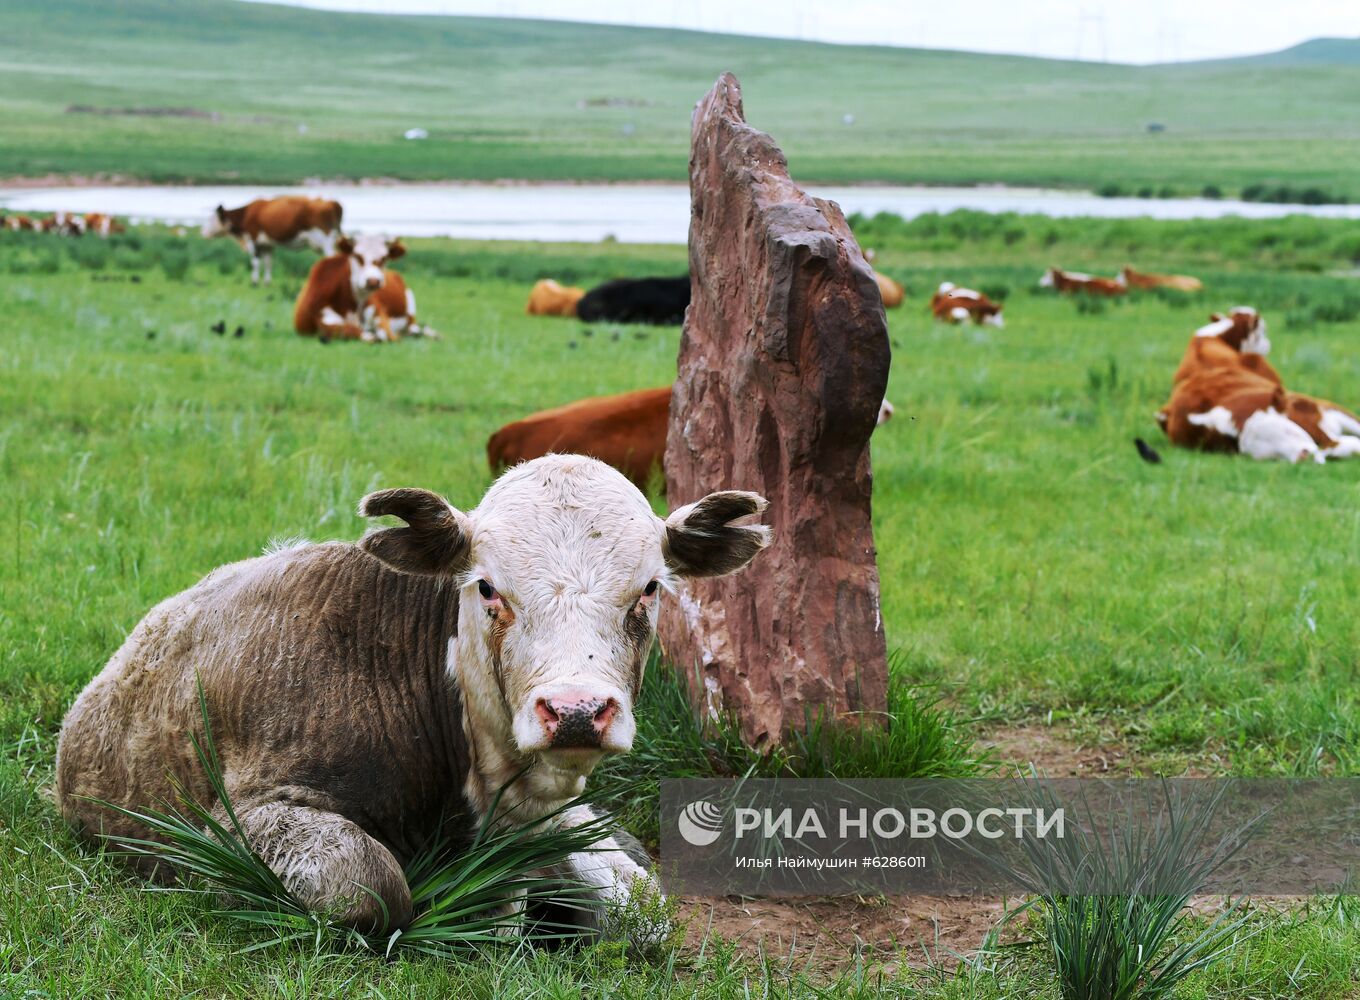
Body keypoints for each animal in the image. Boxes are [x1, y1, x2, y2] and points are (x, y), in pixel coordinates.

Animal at [58, 457, 772, 936]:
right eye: (487, 588)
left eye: (650, 588)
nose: (575, 711)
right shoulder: (238, 819)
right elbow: (372, 890)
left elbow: (642, 913)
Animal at [205, 195, 348, 282]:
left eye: (212, 219)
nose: (203, 232)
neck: (246, 214)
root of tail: (332, 202)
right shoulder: (267, 244)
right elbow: (268, 262)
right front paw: (266, 283)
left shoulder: (254, 240)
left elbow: (255, 262)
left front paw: (254, 282)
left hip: (326, 241)